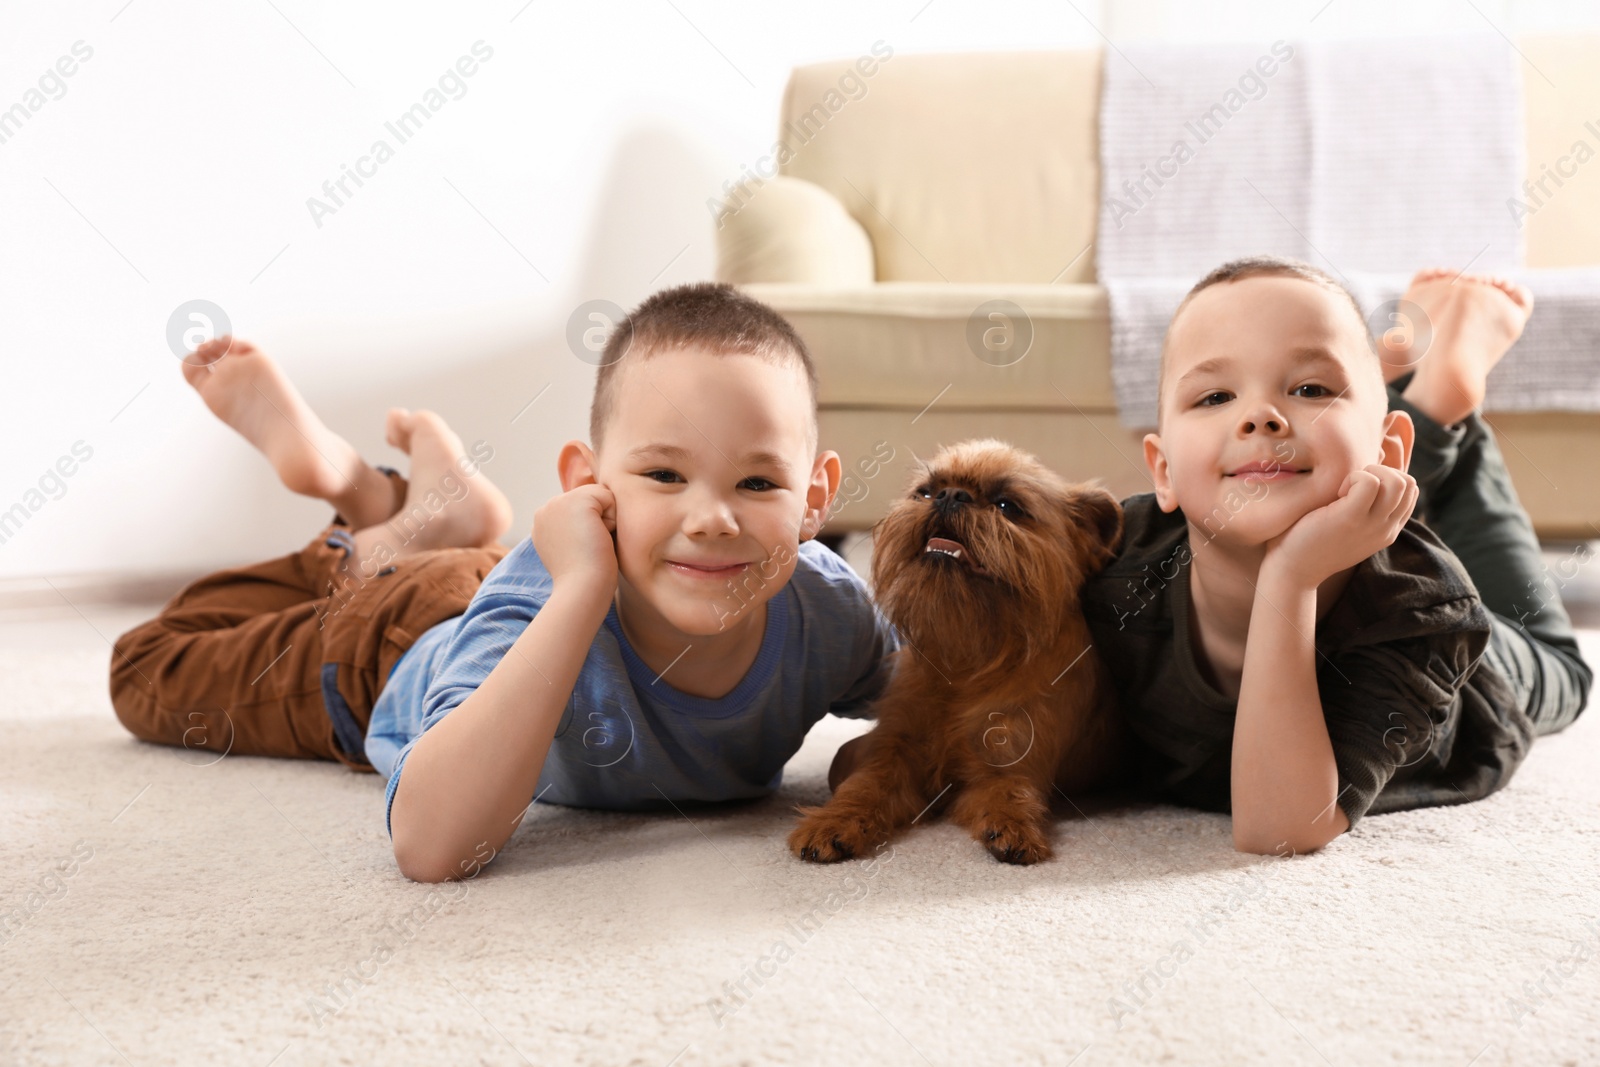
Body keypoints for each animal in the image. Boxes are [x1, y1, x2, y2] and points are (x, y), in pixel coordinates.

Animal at [787, 438, 1126, 863]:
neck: (968, 656)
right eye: (926, 492)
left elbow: (1012, 793)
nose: (951, 495)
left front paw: (1016, 828)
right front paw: (832, 822)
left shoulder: (1010, 763)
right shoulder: (894, 750)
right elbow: (863, 785)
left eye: (1007, 506)